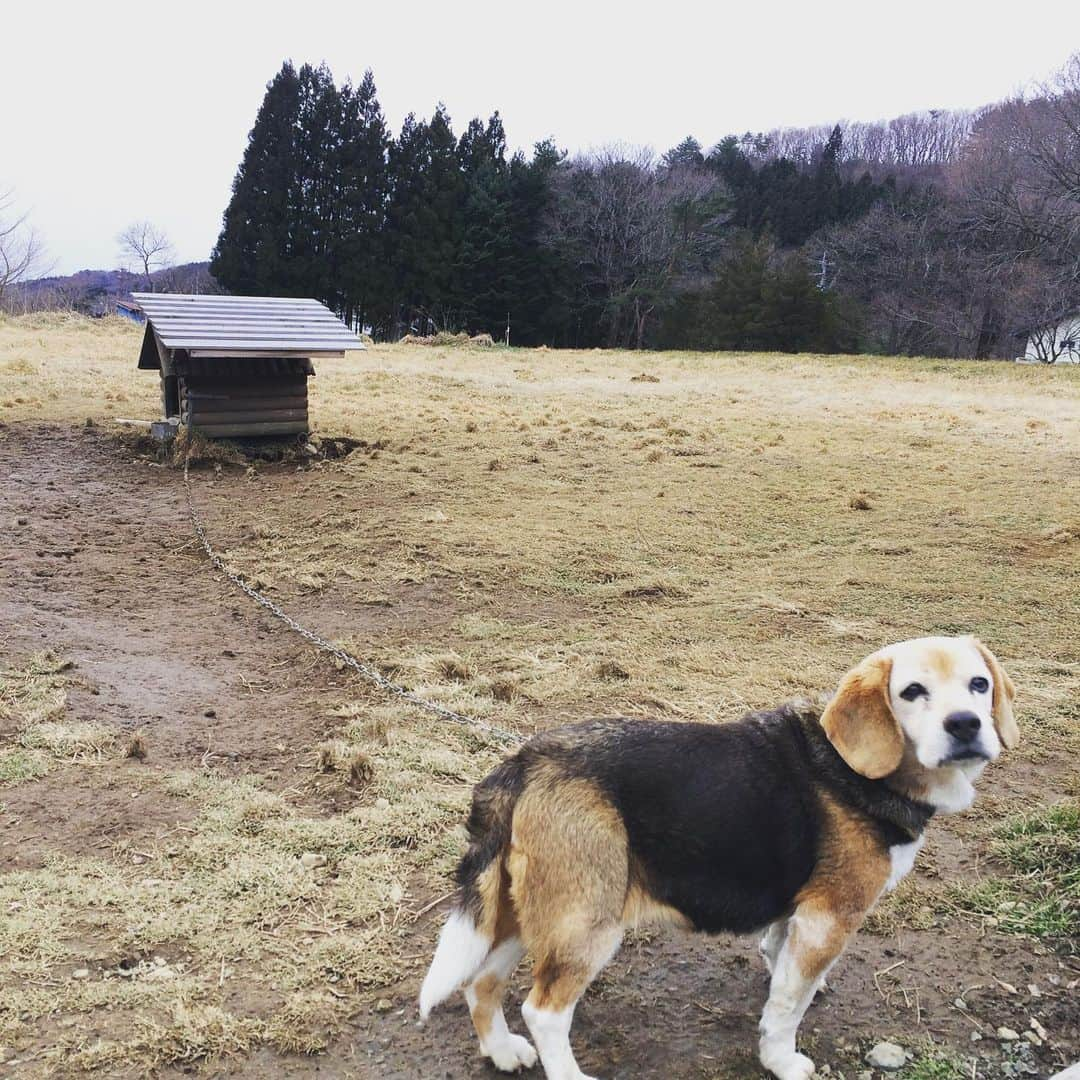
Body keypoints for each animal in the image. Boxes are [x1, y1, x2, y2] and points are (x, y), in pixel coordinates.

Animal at [421, 635, 1019, 1075]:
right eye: (912, 691)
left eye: (979, 684)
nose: (966, 724)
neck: (852, 766)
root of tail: (528, 760)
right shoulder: (829, 917)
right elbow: (787, 1007)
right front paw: (781, 1060)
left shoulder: (796, 913)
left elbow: (780, 967)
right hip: (586, 924)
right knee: (542, 1012)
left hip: (526, 913)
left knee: (481, 983)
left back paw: (502, 1052)